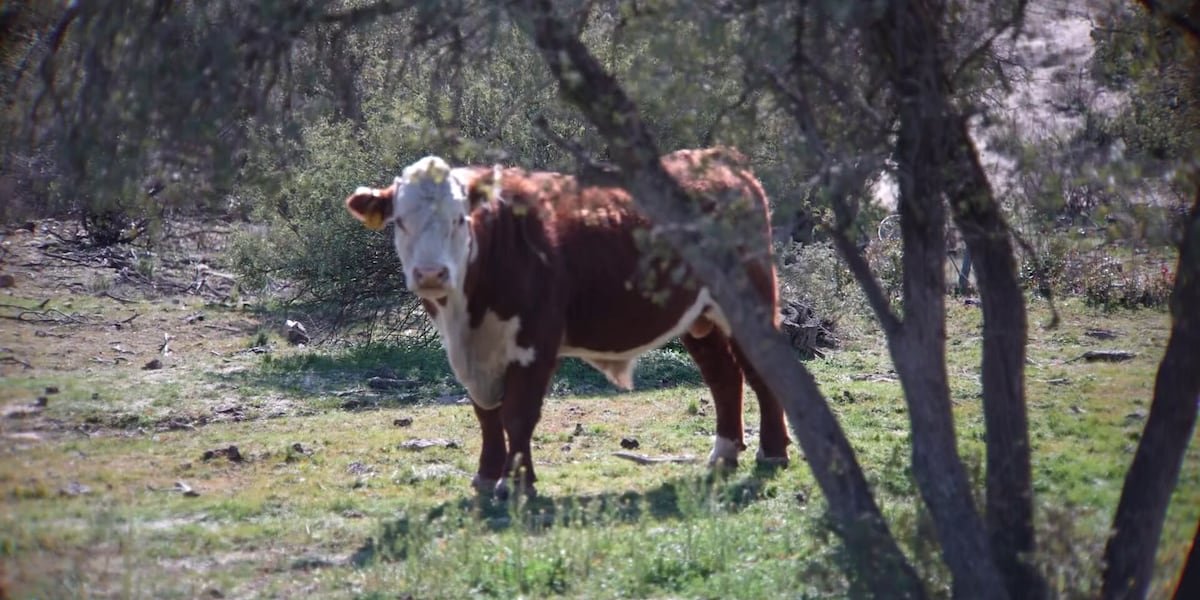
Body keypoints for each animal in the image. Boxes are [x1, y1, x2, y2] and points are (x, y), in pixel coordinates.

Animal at [344, 147, 790, 498]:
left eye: (459, 220)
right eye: (400, 221)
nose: (431, 274)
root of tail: (721, 160)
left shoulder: (536, 340)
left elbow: (517, 414)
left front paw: (517, 484)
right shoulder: (469, 353)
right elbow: (486, 414)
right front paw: (486, 476)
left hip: (749, 301)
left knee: (761, 372)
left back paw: (772, 452)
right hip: (699, 317)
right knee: (724, 377)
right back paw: (724, 454)